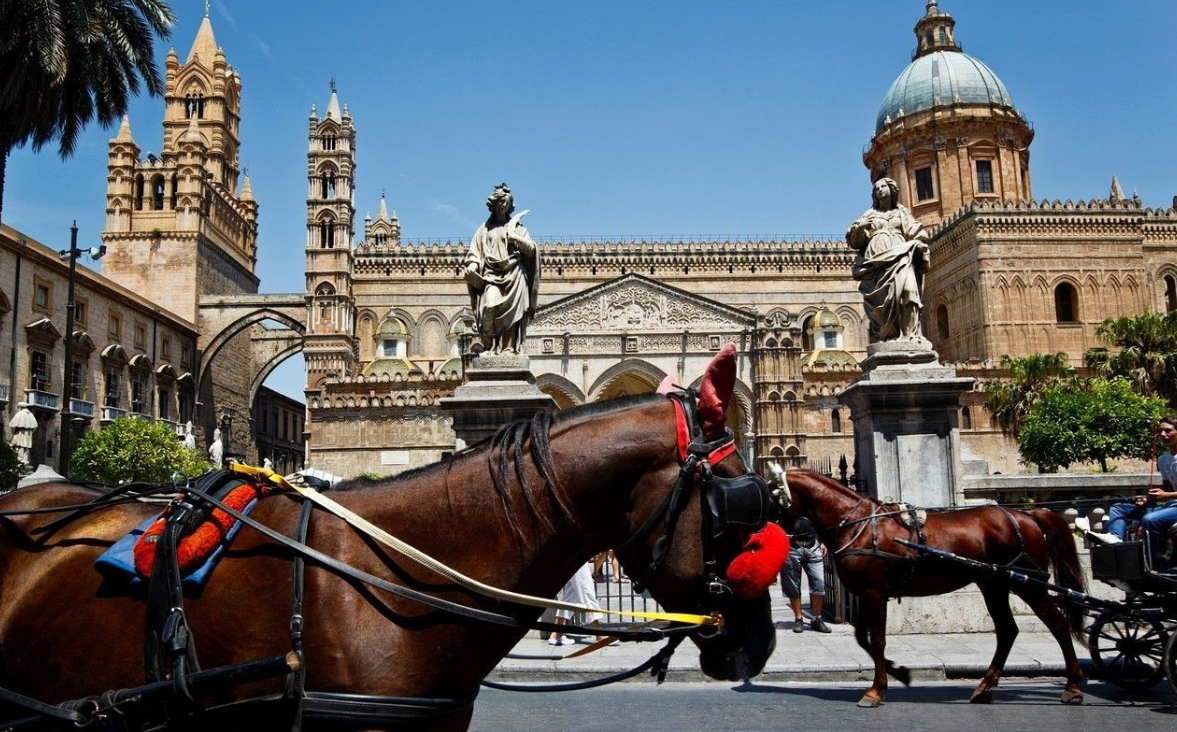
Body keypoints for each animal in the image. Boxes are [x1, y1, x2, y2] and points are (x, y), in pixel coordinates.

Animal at [772, 470, 1082, 710]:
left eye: (772, 494)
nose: (769, 530)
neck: (856, 523)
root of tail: (1028, 514)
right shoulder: (863, 592)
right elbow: (864, 639)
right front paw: (899, 673)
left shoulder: (874, 592)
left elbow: (877, 640)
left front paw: (875, 690)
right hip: (994, 583)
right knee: (1008, 630)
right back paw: (984, 687)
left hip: (1029, 584)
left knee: (1058, 623)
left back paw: (1073, 687)